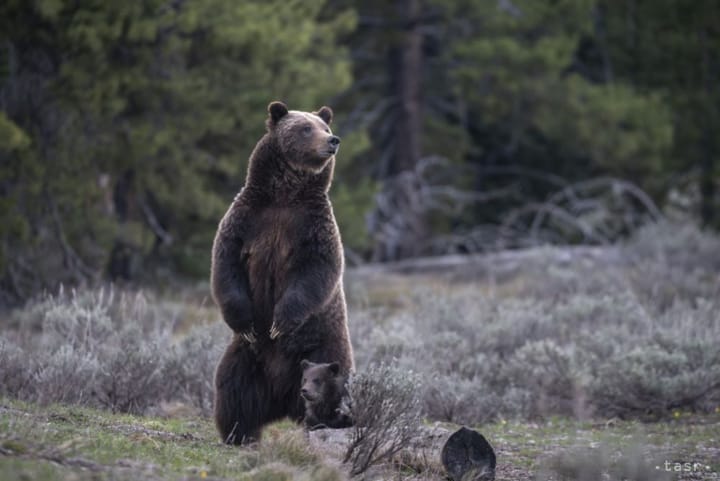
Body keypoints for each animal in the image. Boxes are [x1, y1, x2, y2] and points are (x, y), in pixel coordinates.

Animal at [211, 101, 354, 444]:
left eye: (325, 127)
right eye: (305, 128)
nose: (333, 141)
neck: (285, 195)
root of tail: (282, 399)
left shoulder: (313, 226)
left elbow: (316, 271)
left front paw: (280, 322)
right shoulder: (247, 219)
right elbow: (226, 265)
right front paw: (248, 323)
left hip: (325, 348)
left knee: (331, 387)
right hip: (247, 359)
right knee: (233, 389)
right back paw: (238, 433)